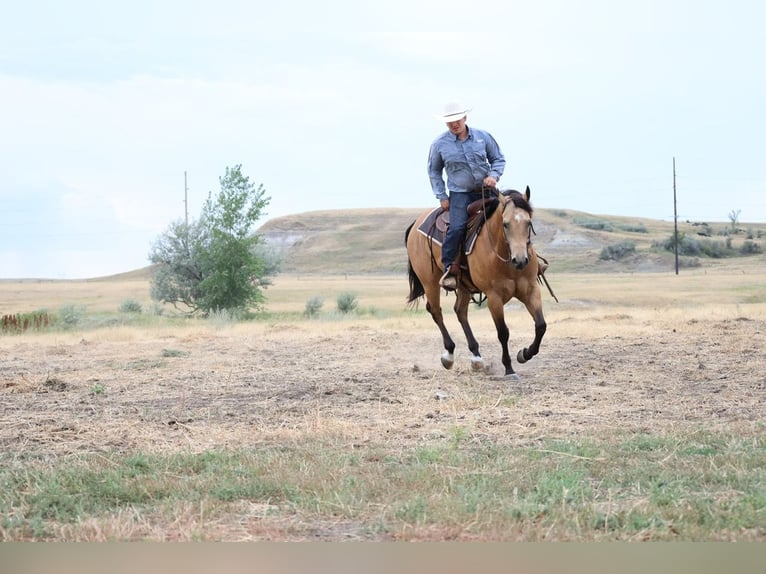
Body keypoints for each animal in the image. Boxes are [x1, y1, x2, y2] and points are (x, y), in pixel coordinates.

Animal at [405, 186, 547, 378]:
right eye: (505, 224)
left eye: (529, 223)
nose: (520, 260)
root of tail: (416, 223)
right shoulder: (494, 297)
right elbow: (503, 332)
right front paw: (509, 368)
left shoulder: (531, 290)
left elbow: (541, 326)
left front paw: (524, 354)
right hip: (430, 282)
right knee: (436, 311)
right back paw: (449, 355)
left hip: (464, 286)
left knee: (460, 311)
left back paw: (476, 357)